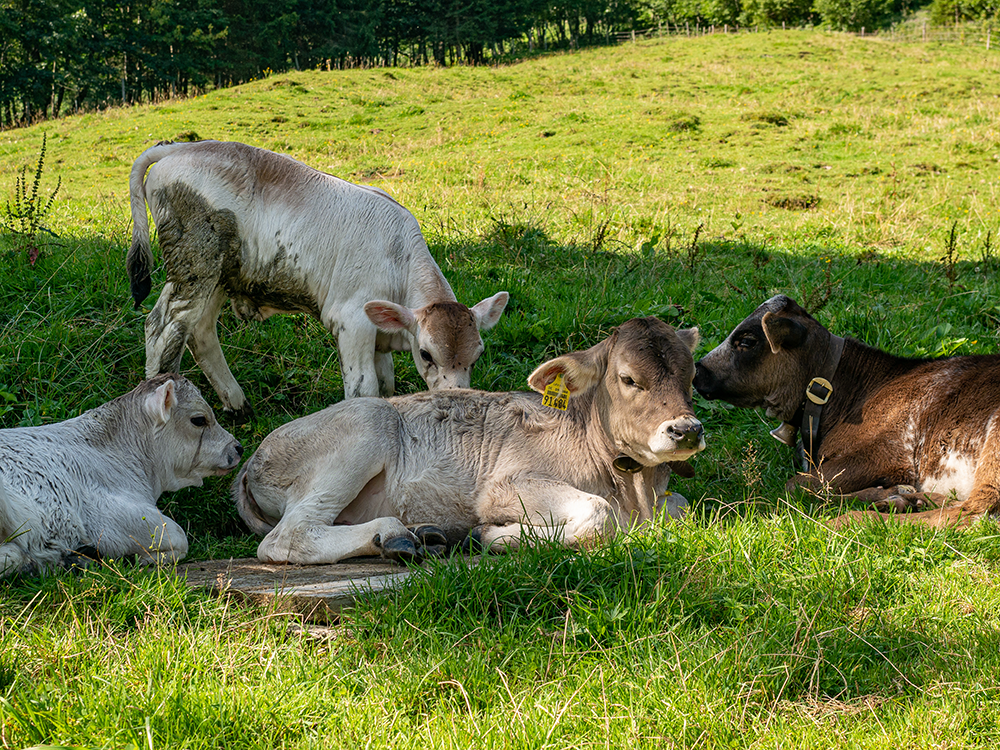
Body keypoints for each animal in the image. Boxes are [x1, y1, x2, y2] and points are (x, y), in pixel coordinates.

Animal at [130, 141, 508, 424]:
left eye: (477, 355)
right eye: (427, 354)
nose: (458, 400)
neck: (398, 260)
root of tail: (181, 147)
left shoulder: (378, 334)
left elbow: (386, 385)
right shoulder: (352, 320)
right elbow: (364, 388)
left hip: (219, 274)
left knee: (199, 330)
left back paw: (237, 404)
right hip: (194, 263)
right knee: (162, 327)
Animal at [233, 316, 704, 564]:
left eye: (691, 375)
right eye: (628, 379)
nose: (686, 430)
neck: (634, 492)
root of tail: (251, 461)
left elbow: (684, 507)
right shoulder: (502, 486)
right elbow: (599, 514)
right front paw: (494, 536)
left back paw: (423, 534)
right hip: (367, 423)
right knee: (286, 537)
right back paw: (395, 536)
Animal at [692, 294, 1000, 528]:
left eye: (746, 341)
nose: (698, 372)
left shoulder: (886, 453)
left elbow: (797, 485)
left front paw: (890, 495)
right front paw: (894, 495)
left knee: (972, 512)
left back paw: (852, 519)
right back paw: (913, 500)